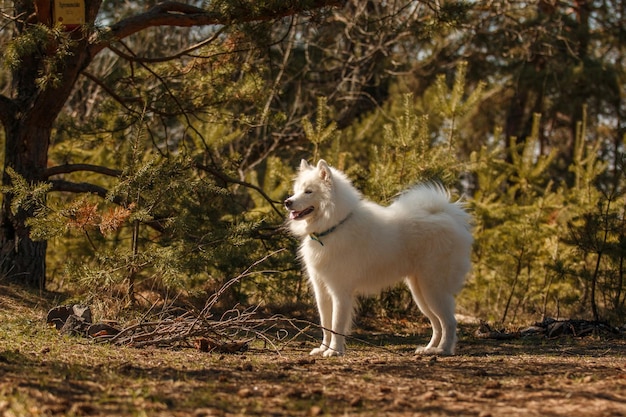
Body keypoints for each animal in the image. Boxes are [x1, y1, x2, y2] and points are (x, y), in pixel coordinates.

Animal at [286, 158, 470, 354]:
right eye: (297, 190)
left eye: (308, 191)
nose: (287, 202)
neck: (334, 226)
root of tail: (448, 215)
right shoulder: (321, 291)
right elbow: (325, 325)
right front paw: (323, 349)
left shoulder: (340, 291)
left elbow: (336, 325)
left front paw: (334, 351)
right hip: (420, 292)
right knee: (437, 324)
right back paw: (428, 349)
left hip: (433, 288)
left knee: (450, 322)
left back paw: (443, 350)